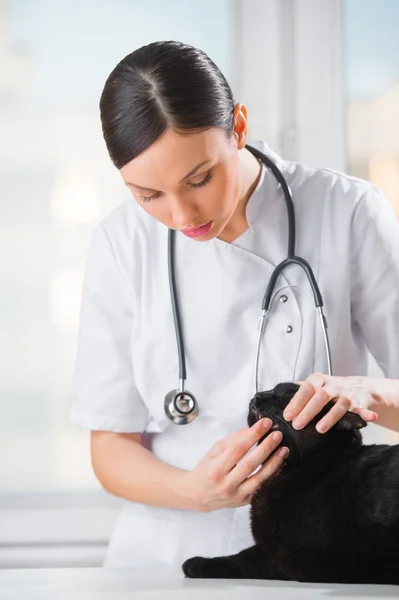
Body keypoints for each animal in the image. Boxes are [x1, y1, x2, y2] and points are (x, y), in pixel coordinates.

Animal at [184, 382, 399, 584]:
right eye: (272, 390)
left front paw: (196, 564)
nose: (258, 395)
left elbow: (240, 560)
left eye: (288, 398)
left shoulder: (282, 557)